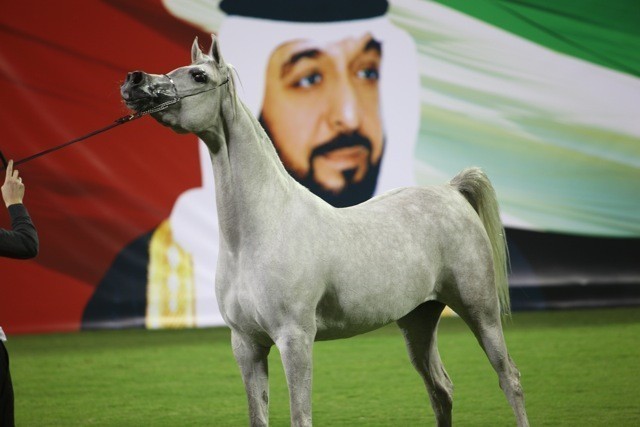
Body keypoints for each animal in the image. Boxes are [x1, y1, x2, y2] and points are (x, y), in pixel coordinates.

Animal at [120, 36, 529, 427]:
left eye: (199, 76)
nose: (134, 80)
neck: (258, 232)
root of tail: (451, 190)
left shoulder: (295, 339)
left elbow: (301, 416)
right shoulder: (246, 345)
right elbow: (258, 415)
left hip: (480, 311)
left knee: (509, 377)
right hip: (418, 321)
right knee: (441, 389)